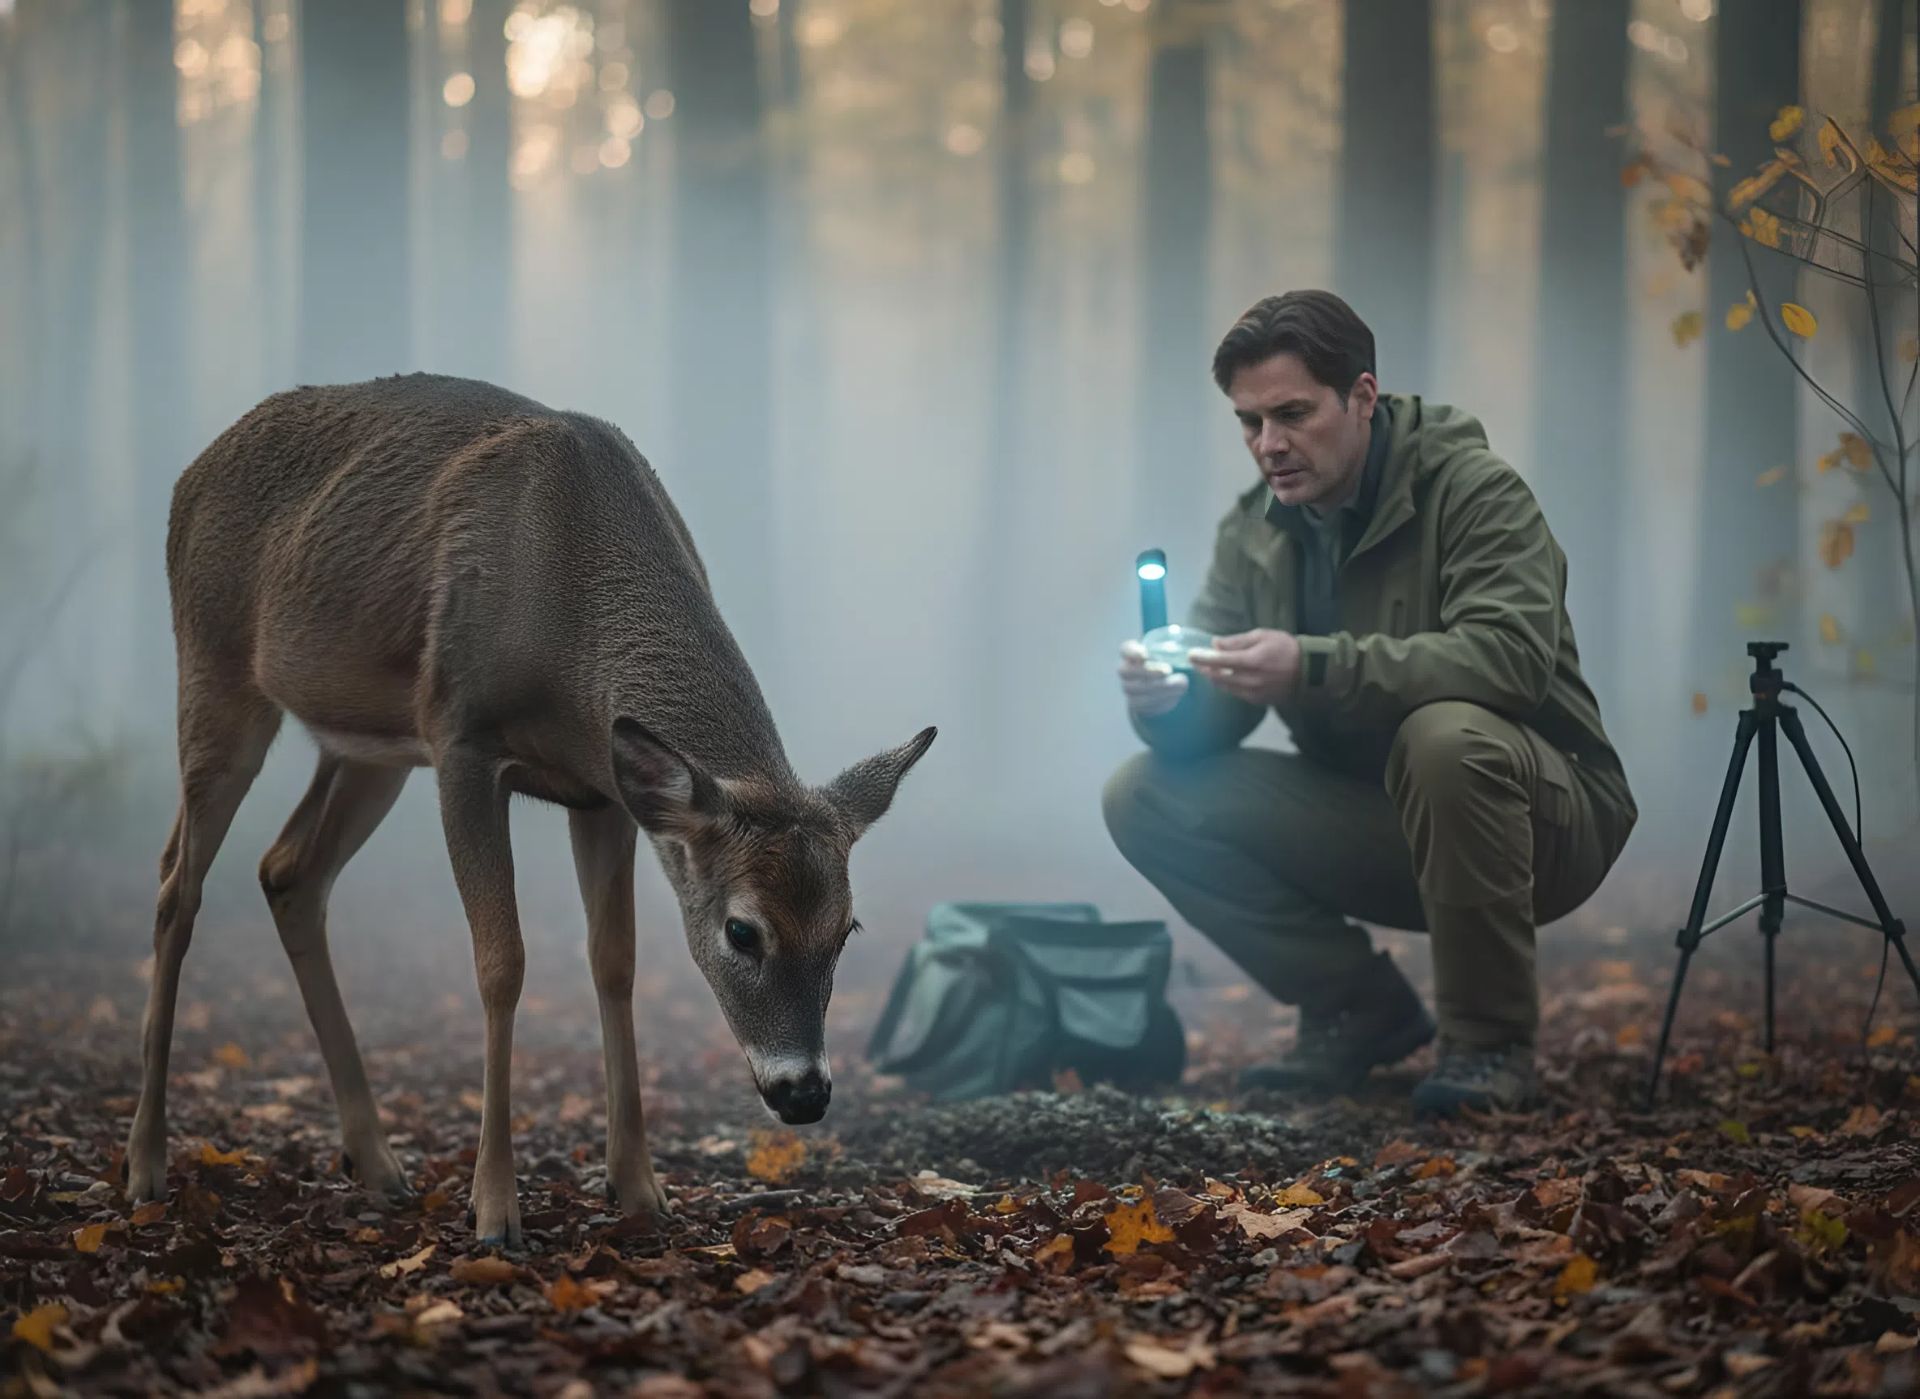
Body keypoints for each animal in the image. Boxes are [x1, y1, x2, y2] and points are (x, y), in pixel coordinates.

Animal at [123, 372, 936, 1246]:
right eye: (743, 930)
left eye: (846, 928)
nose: (804, 1092)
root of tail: (190, 474)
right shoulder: (462, 739)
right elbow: (501, 961)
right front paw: (495, 1207)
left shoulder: (607, 792)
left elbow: (615, 962)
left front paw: (639, 1187)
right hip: (216, 669)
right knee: (175, 884)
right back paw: (145, 1164)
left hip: (372, 750)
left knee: (288, 871)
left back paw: (377, 1162)